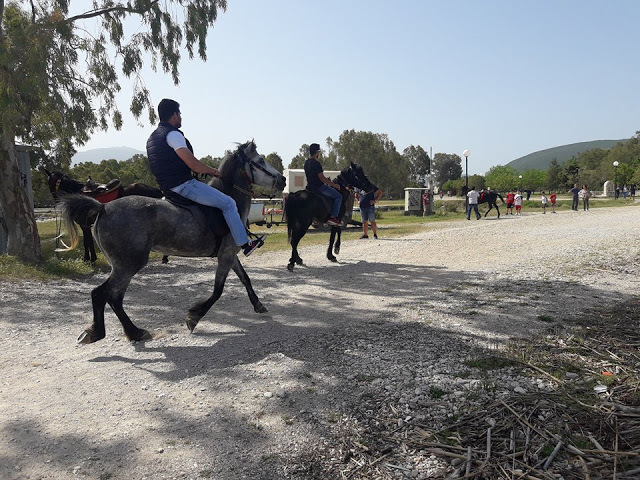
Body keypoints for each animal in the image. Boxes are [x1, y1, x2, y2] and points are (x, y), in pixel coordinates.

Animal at [57, 141, 288, 344]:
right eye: (260, 160)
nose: (283, 179)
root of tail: (103, 208)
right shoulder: (226, 254)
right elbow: (218, 290)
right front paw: (193, 317)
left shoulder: (230, 254)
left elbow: (245, 279)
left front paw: (258, 304)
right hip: (128, 264)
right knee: (101, 294)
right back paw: (99, 332)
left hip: (124, 265)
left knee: (115, 298)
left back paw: (135, 332)